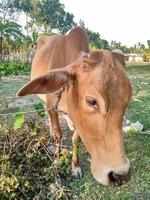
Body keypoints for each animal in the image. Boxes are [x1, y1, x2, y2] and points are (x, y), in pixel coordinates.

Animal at [17, 26, 131, 186]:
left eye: (127, 99)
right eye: (91, 101)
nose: (120, 175)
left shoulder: (77, 116)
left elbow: (75, 138)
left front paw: (75, 167)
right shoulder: (52, 106)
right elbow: (58, 133)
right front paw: (57, 158)